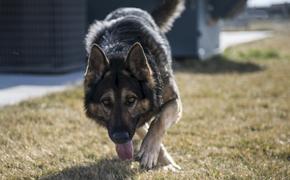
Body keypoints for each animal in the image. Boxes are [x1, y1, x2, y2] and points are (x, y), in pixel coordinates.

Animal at [84, 0, 185, 169]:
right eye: (106, 102)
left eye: (131, 100)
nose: (120, 138)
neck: (118, 51)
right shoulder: (135, 124)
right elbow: (145, 128)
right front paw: (162, 159)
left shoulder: (174, 101)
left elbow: (158, 121)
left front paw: (150, 152)